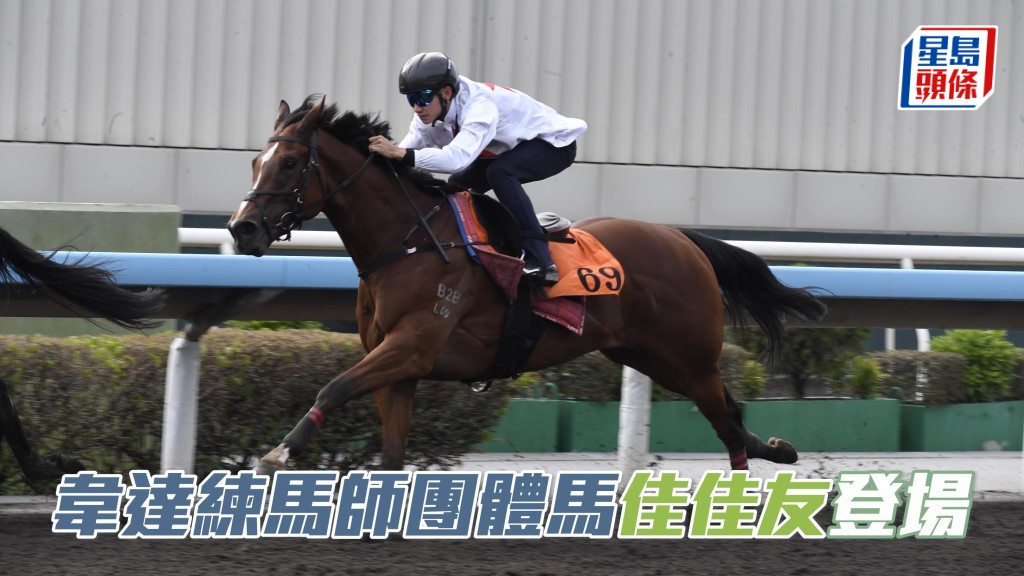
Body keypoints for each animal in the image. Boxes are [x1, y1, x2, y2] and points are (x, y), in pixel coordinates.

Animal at [228, 95, 826, 475]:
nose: (242, 228)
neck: (409, 241)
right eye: (256, 160)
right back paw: (779, 450)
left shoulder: (412, 346)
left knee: (726, 424)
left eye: (288, 163)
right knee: (732, 416)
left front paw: (277, 454)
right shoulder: (399, 369)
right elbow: (391, 456)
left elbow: (332, 387)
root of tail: (682, 239)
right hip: (650, 355)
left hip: (690, 356)